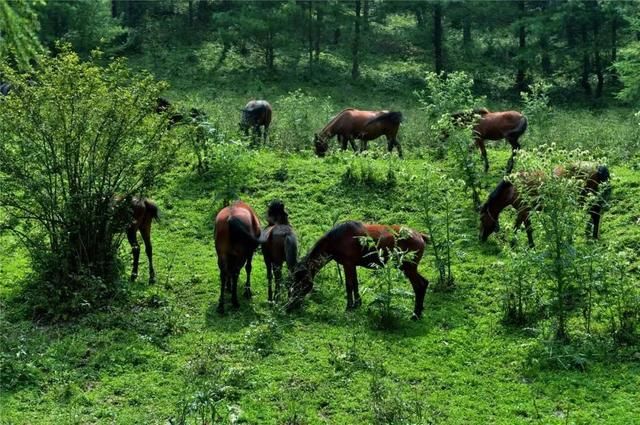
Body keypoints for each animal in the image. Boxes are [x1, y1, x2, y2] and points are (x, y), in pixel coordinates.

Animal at [288, 222, 430, 318]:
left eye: (300, 283)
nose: (290, 306)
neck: (336, 239)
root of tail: (420, 235)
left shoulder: (348, 264)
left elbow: (349, 285)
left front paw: (349, 307)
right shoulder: (352, 265)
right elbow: (355, 283)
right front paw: (357, 304)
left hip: (407, 267)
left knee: (419, 285)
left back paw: (415, 315)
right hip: (410, 268)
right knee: (424, 283)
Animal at [480, 163, 608, 248]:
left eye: (481, 218)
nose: (480, 238)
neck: (513, 188)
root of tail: (597, 168)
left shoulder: (523, 211)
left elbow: (521, 228)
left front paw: (518, 244)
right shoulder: (524, 211)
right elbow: (522, 227)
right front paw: (526, 245)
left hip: (586, 201)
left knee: (595, 216)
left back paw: (594, 238)